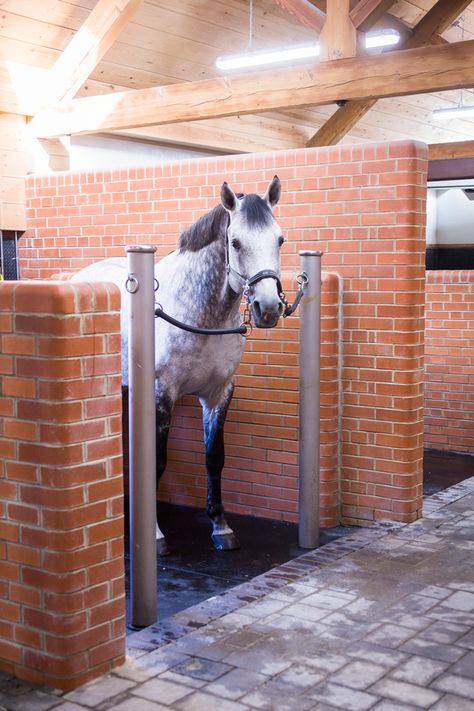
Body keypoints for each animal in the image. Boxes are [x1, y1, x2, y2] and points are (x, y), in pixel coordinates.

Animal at [72, 175, 284, 552]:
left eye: (280, 239)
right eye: (235, 242)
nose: (269, 308)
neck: (199, 316)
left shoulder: (219, 393)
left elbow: (215, 458)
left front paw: (220, 527)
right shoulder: (162, 393)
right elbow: (157, 461)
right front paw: (154, 536)